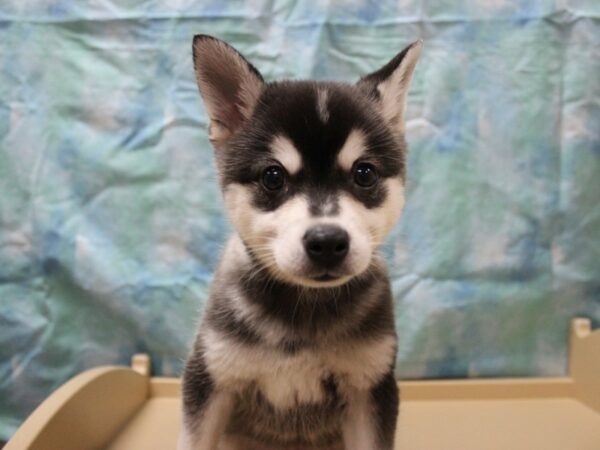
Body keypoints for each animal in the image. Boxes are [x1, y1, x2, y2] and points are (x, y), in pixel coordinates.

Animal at [180, 35, 424, 450]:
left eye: (364, 173)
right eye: (273, 176)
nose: (327, 242)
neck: (303, 311)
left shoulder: (370, 386)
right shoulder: (211, 376)